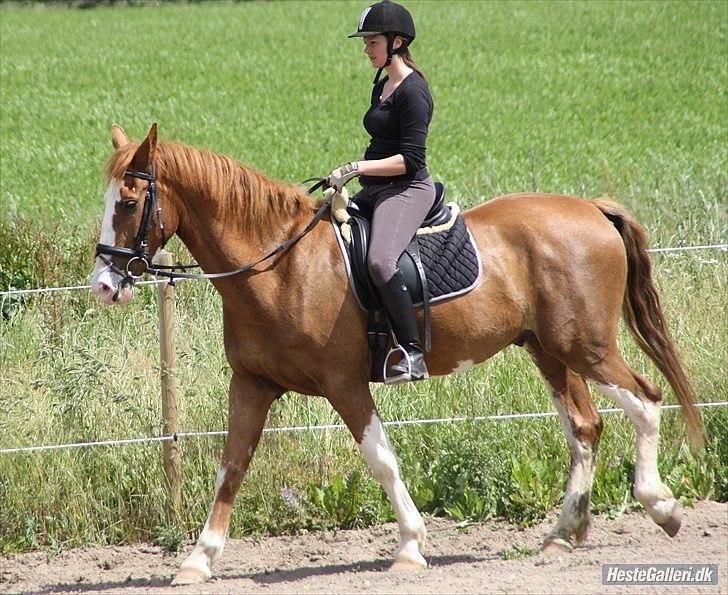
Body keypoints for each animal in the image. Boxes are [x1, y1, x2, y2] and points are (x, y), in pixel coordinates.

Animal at [88, 123, 704, 584]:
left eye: (129, 202)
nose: (104, 284)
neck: (279, 266)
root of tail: (591, 209)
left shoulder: (344, 384)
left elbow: (380, 458)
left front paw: (410, 546)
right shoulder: (253, 384)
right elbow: (232, 466)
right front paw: (198, 560)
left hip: (587, 346)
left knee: (646, 401)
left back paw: (661, 506)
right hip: (550, 351)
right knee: (584, 427)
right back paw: (561, 535)